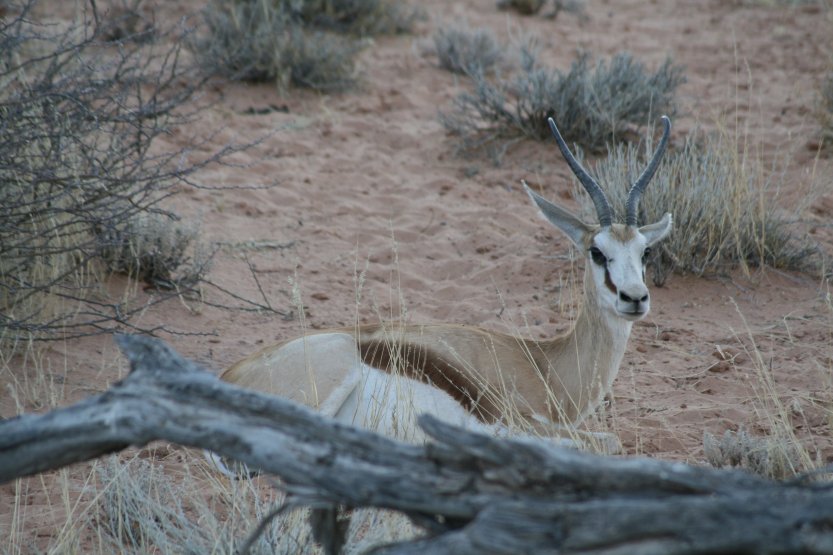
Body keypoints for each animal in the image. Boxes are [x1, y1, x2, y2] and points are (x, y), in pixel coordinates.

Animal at [211, 117, 672, 474]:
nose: (634, 298)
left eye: (645, 251)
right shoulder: (514, 422)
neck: (544, 365)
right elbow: (606, 442)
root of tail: (229, 376)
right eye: (597, 251)